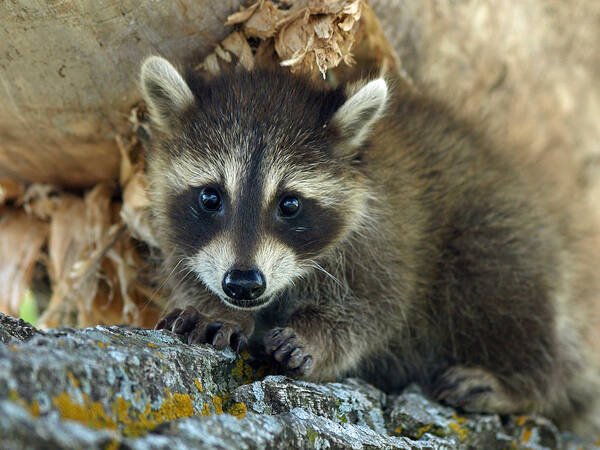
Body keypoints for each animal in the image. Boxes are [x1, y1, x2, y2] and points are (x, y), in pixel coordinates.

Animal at [141, 54, 600, 434]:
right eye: (210, 197)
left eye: (290, 204)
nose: (243, 285)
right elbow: (190, 267)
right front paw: (214, 306)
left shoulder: (384, 239)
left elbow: (374, 310)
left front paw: (316, 334)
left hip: (501, 229)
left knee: (499, 288)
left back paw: (526, 382)